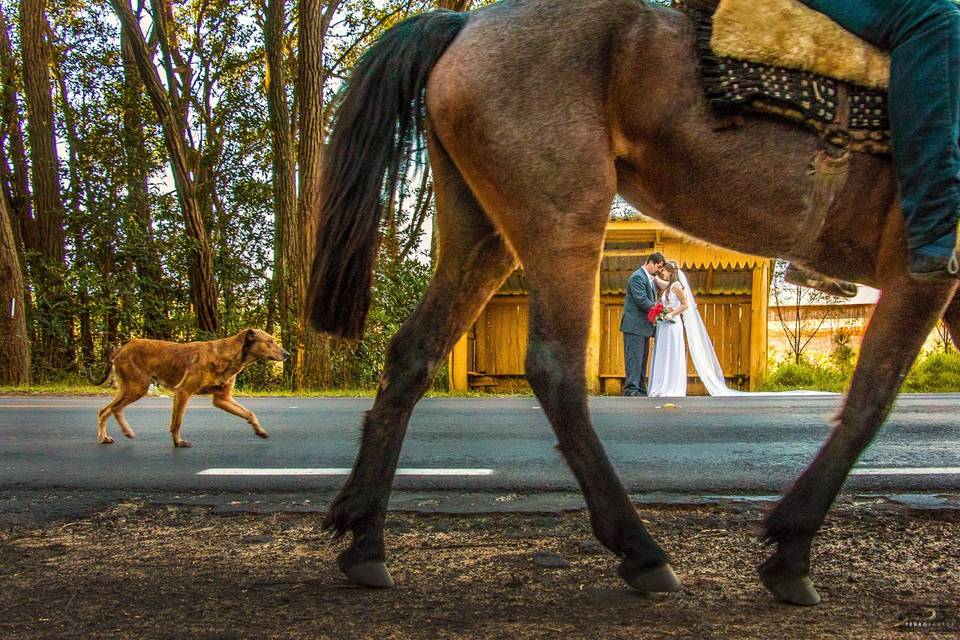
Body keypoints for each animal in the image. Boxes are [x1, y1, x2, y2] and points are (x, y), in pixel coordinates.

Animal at [92, 332, 290, 448]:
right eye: (269, 341)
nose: (287, 354)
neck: (229, 356)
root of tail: (120, 349)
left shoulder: (222, 399)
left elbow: (249, 413)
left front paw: (259, 430)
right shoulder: (183, 392)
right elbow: (176, 422)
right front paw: (178, 442)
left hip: (129, 387)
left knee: (104, 410)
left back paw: (105, 437)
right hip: (137, 387)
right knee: (114, 408)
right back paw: (124, 432)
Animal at [306, 0, 960, 604]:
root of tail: (466, 25)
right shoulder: (920, 270)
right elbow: (870, 402)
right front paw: (791, 550)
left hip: (481, 232)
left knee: (413, 355)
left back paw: (364, 539)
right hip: (564, 218)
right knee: (555, 370)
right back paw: (640, 549)